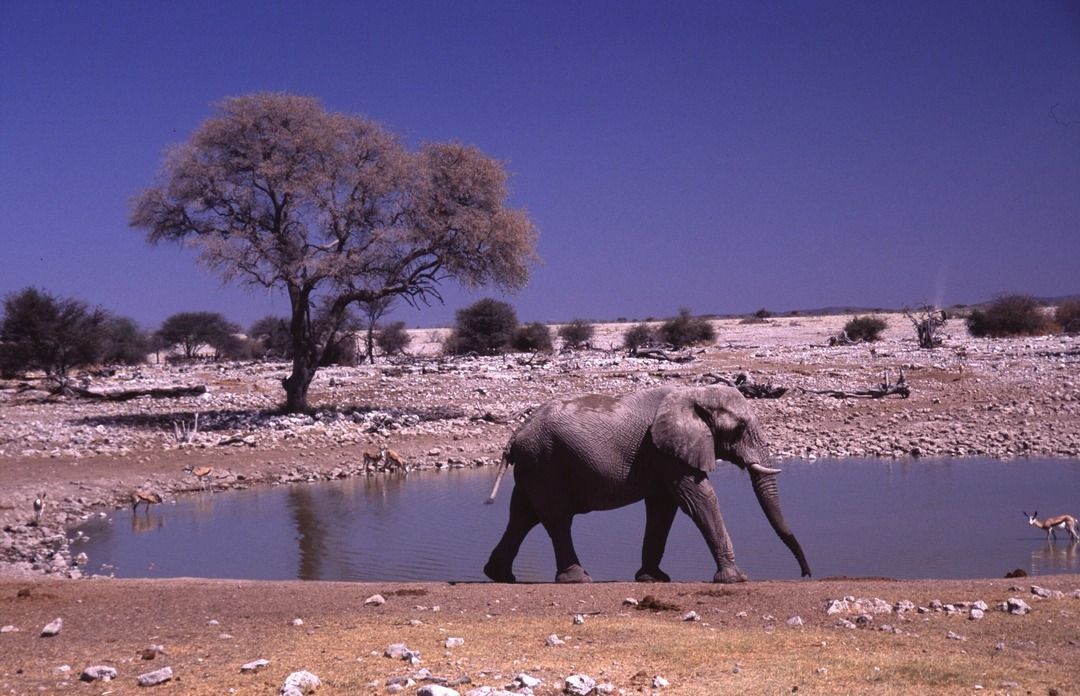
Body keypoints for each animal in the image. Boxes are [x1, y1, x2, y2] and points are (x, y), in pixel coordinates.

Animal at [481, 382, 812, 583]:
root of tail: (514, 435)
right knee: (557, 518)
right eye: (740, 428)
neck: (694, 393)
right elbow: (699, 499)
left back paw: (499, 575)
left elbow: (664, 509)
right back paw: (577, 579)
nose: (806, 574)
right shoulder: (666, 451)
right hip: (545, 461)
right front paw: (736, 579)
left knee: (523, 515)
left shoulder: (662, 453)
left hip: (535, 466)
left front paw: (653, 579)